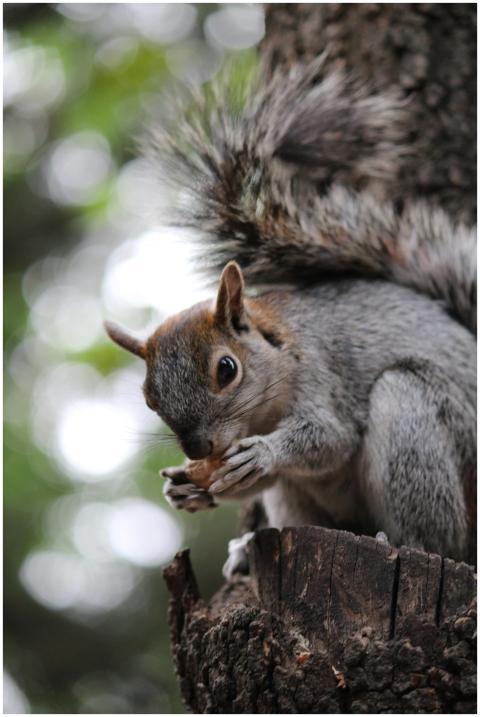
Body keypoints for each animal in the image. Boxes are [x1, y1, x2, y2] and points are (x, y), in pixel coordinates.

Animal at [105, 56, 476, 571]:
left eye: (227, 369)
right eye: (147, 398)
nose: (199, 448)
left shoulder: (323, 376)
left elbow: (330, 438)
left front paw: (265, 452)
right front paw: (188, 489)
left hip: (419, 422)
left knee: (440, 538)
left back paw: (400, 542)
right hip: (298, 500)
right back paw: (246, 550)